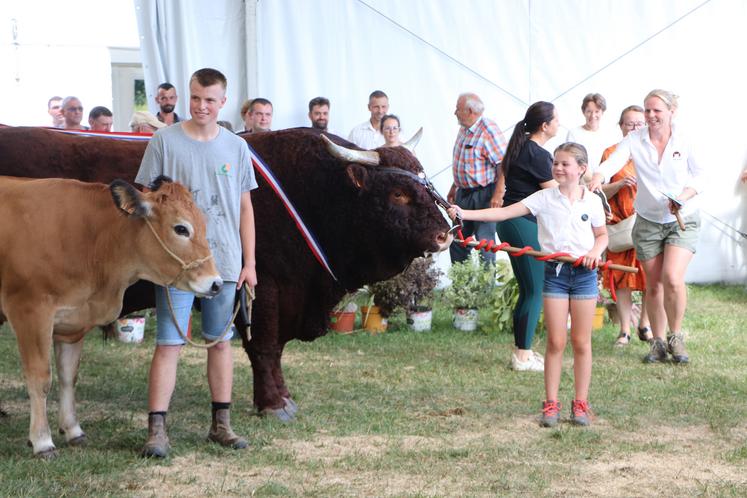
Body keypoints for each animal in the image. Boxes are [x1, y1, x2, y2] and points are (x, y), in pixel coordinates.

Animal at [0, 127, 450, 420]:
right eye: (398, 193)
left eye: (425, 179)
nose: (445, 233)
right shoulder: (264, 289)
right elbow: (265, 347)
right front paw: (273, 404)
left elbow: (273, 350)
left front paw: (282, 397)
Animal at [0, 176, 222, 460]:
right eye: (181, 229)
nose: (216, 284)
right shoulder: (31, 312)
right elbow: (40, 379)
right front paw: (42, 441)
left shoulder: (72, 323)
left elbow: (68, 376)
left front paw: (73, 430)